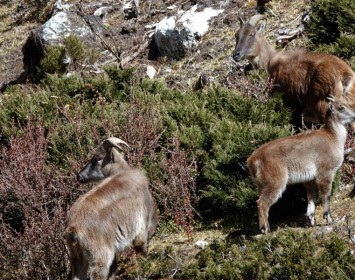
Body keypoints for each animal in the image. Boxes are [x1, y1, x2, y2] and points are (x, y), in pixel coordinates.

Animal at [64, 137, 159, 280]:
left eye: (97, 158)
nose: (79, 176)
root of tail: (73, 229)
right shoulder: (143, 228)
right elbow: (141, 246)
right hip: (100, 258)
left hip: (77, 257)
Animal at [248, 95, 355, 233]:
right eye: (341, 107)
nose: (354, 115)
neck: (333, 138)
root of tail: (252, 160)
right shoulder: (325, 173)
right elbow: (326, 195)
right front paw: (329, 219)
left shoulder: (310, 179)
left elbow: (312, 197)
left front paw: (311, 220)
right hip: (275, 182)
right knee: (261, 203)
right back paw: (265, 229)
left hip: (261, 184)